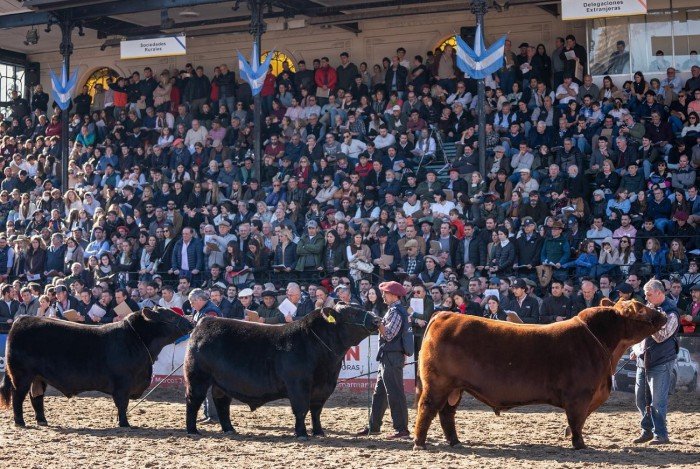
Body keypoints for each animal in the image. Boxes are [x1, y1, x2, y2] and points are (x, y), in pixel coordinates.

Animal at [0, 307, 192, 428]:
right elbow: (122, 404)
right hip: (21, 375)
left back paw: (42, 420)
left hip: (38, 377)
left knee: (36, 397)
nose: (190, 323)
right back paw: (20, 422)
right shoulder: (123, 383)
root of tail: (22, 319)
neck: (136, 339)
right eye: (171, 317)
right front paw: (124, 424)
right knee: (18, 397)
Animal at [184, 303, 379, 438]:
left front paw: (319, 432)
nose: (377, 319)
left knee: (222, 403)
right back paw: (192, 430)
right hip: (197, 377)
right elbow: (301, 409)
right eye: (352, 312)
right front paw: (301, 434)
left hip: (221, 382)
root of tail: (205, 321)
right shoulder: (298, 384)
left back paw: (230, 429)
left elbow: (316, 411)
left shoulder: (324, 387)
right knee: (193, 401)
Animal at [413, 299, 667, 450]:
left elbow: (578, 421)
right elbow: (576, 421)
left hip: (455, 387)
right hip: (438, 384)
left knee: (446, 414)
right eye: (641, 308)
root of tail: (444, 315)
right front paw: (580, 445)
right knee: (427, 409)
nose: (663, 314)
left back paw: (455, 442)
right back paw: (420, 443)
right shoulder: (579, 395)